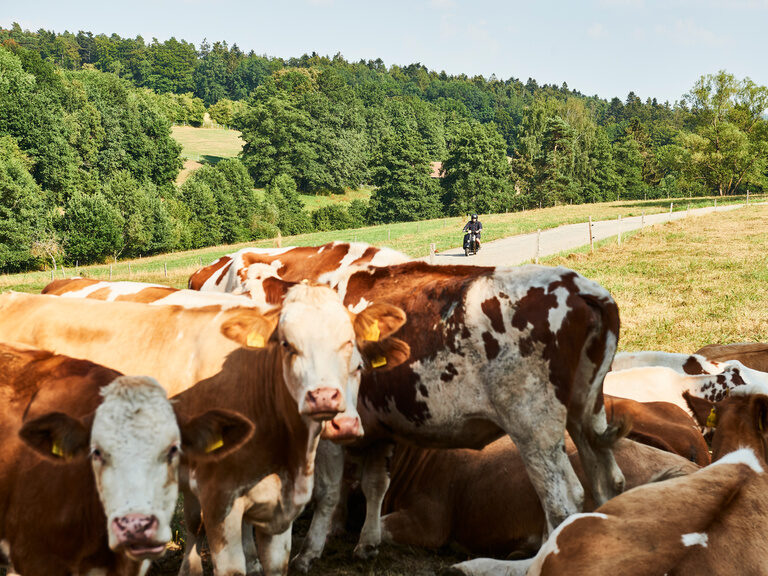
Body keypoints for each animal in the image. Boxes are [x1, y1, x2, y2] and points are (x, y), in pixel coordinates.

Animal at [193, 256, 626, 564]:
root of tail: (578, 285)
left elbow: (329, 491)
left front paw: (310, 551)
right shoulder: (377, 428)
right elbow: (374, 486)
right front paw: (365, 544)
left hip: (533, 426)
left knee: (563, 500)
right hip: (584, 415)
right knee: (608, 482)